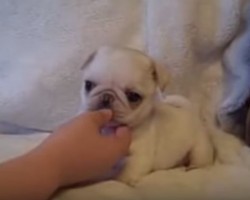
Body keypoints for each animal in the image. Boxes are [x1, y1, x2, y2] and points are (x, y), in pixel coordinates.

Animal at [81, 46, 214, 185]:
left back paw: (193, 167)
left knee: (201, 160)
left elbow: (124, 177)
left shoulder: (138, 158)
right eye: (88, 85)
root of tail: (192, 113)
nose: (106, 97)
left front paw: (120, 181)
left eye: (133, 96)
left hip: (199, 148)